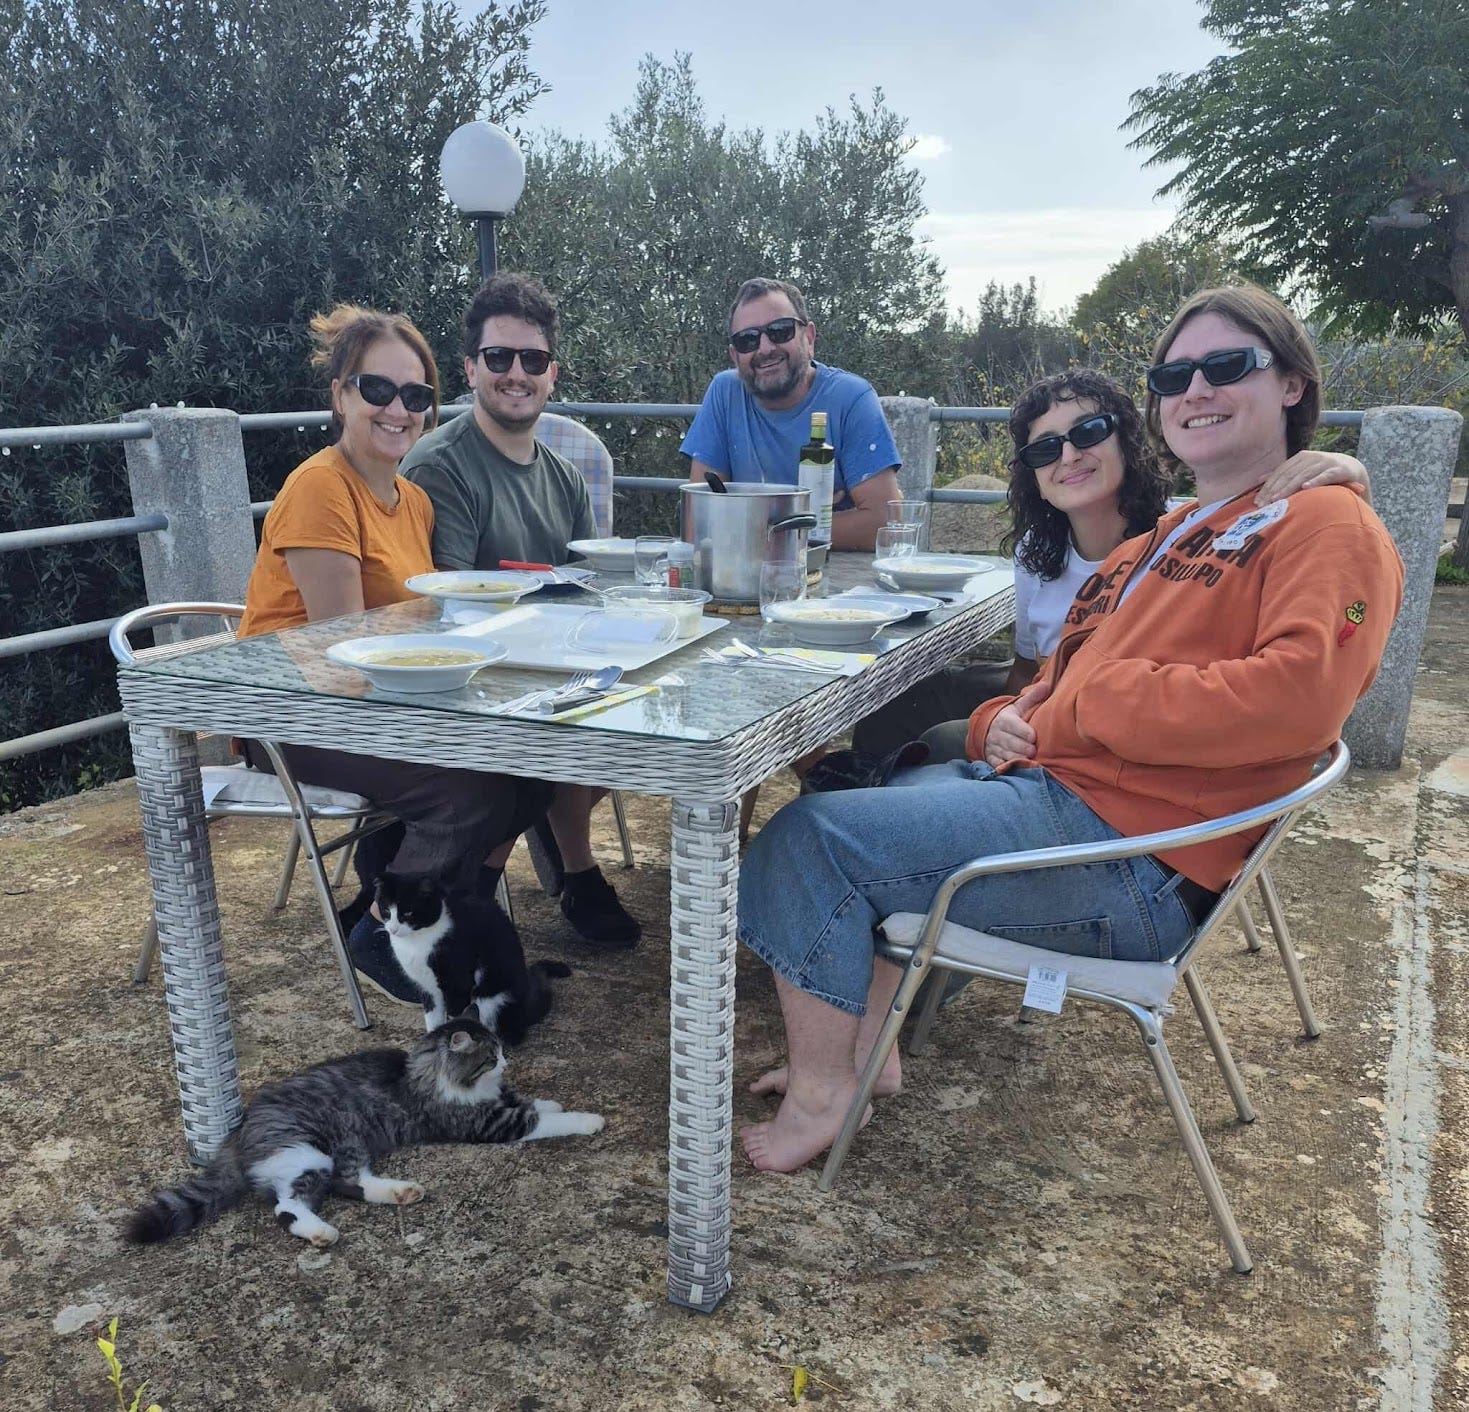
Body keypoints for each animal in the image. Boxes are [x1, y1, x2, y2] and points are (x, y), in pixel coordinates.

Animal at [124, 1015, 603, 1247]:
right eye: (491, 1054)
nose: (506, 1060)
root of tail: (237, 1136)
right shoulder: (489, 1123)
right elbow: (544, 1118)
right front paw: (588, 1119)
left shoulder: (497, 1103)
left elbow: (532, 1102)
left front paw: (548, 1100)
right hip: (310, 1151)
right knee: (288, 1205)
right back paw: (322, 1232)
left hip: (346, 1146)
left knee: (349, 1182)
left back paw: (402, 1192)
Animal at [375, 870, 571, 1042]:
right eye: (386, 910)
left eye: (408, 913)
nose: (393, 929)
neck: (416, 942)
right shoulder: (426, 986)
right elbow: (432, 1016)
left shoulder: (457, 982)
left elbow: (456, 1016)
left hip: (494, 998)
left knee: (513, 1033)